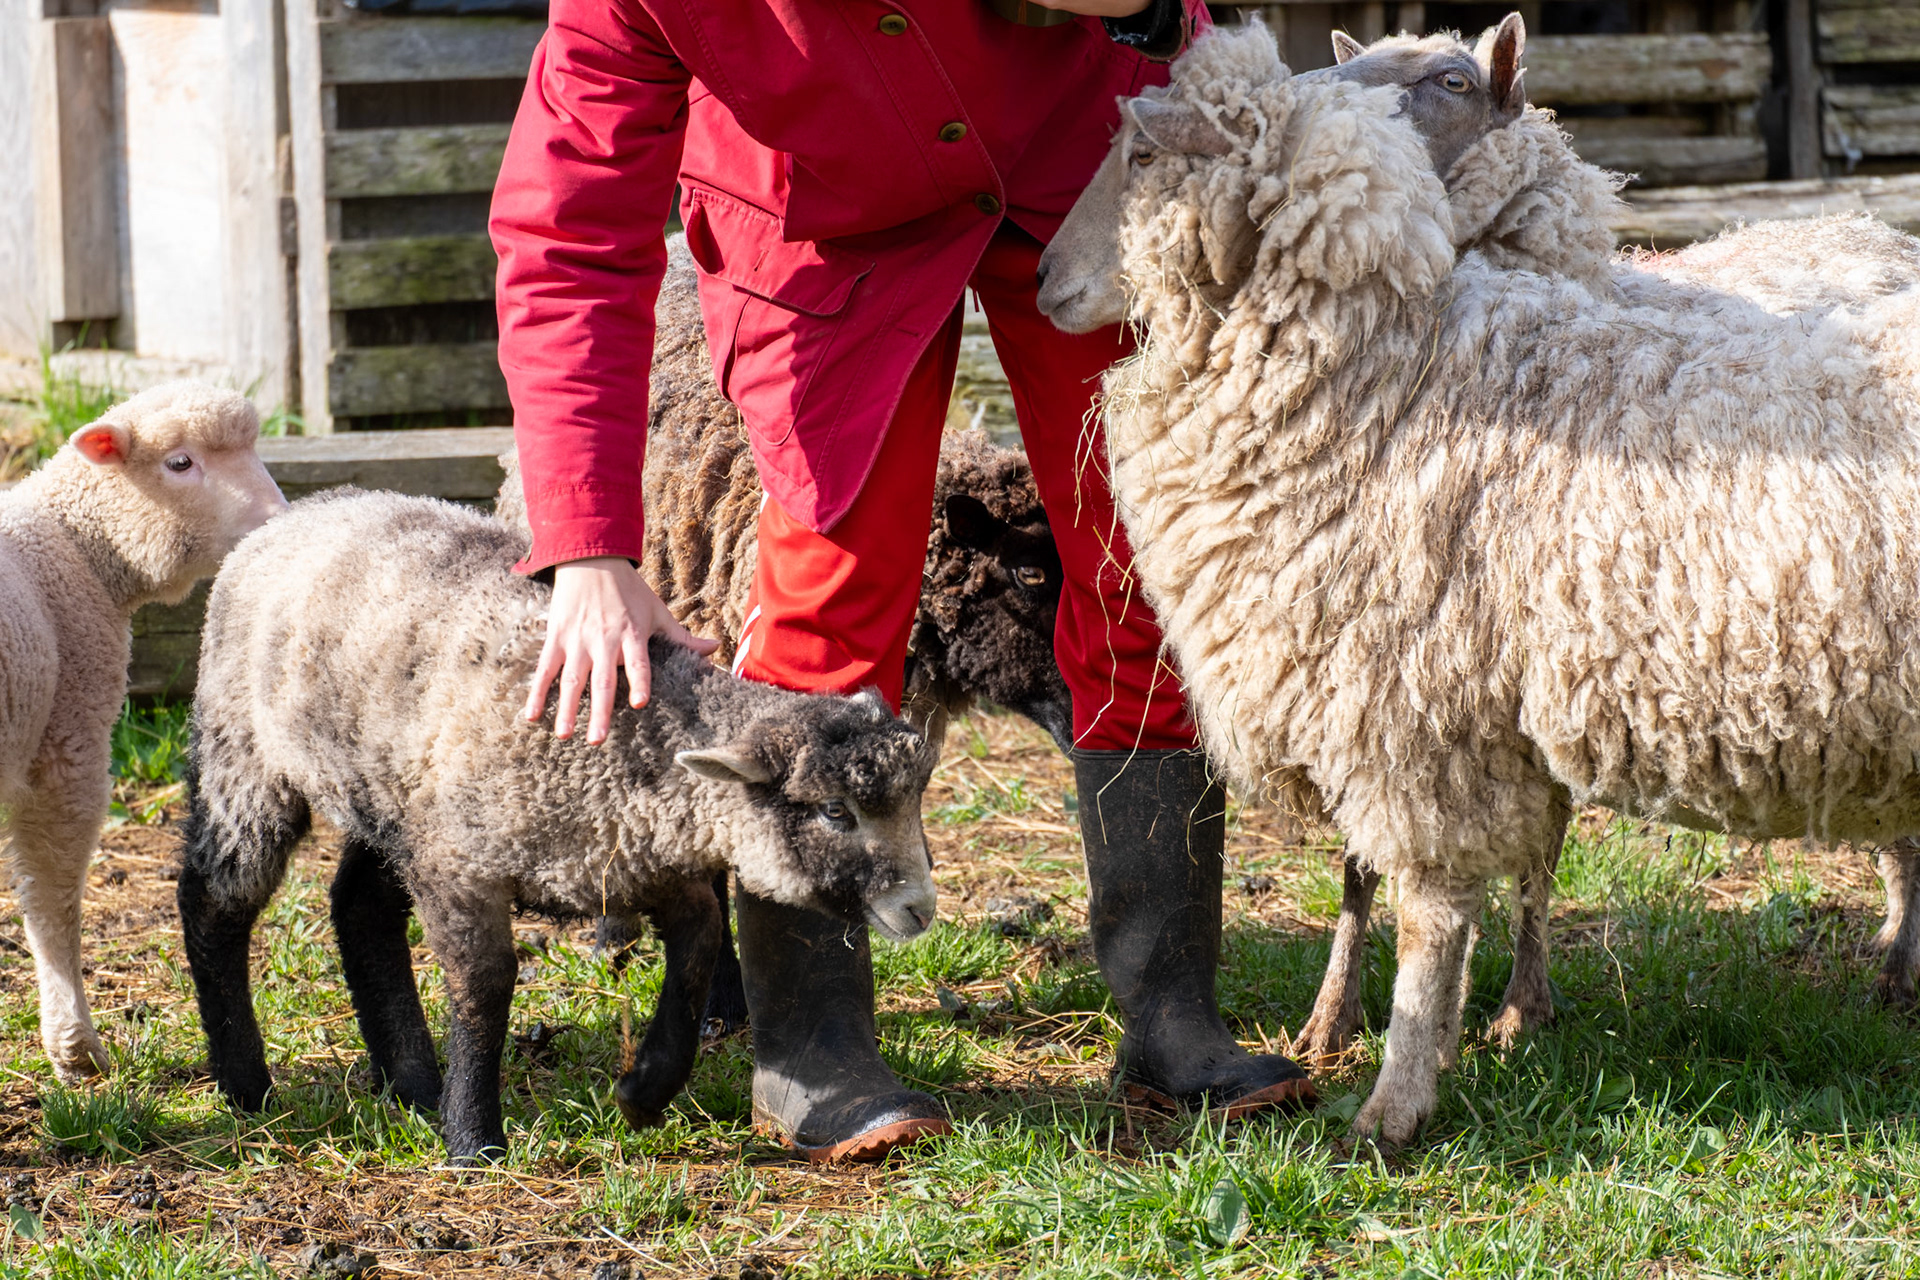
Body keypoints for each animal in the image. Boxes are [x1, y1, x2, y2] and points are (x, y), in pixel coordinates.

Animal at [1, 383, 284, 1082]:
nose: (278, 521)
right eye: (179, 463)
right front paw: (74, 1046)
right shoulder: (68, 741)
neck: (78, 546)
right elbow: (54, 902)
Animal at [176, 488, 939, 1161]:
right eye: (835, 811)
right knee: (215, 900)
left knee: (359, 906)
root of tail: (301, 511)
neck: (632, 734)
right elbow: (485, 988)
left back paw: (412, 1083)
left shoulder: (629, 860)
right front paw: (473, 1139)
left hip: (392, 796)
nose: (920, 909)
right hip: (247, 754)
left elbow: (699, 940)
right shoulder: (462, 869)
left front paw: (645, 1089)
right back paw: (247, 1084)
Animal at [1040, 22, 1920, 1149]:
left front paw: (1397, 1102)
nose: (1042, 277)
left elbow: (1433, 914)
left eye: (1141, 154)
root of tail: (1854, 222)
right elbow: (1420, 877)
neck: (1399, 371)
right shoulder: (1470, 703)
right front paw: (1391, 1028)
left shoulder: (1414, 708)